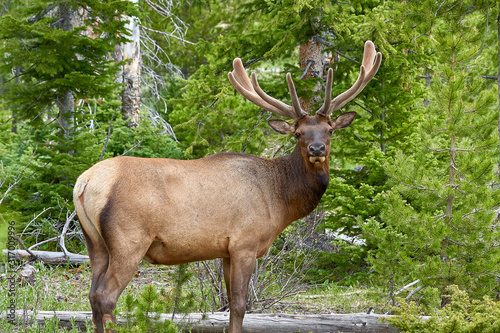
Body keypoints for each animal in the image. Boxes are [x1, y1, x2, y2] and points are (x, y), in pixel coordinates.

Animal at [72, 40, 380, 330]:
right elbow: (241, 305)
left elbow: (231, 304)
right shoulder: (245, 243)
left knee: (92, 295)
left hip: (94, 243)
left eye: (329, 130)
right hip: (129, 239)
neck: (279, 199)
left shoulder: (226, 250)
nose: (317, 149)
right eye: (298, 133)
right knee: (106, 297)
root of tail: (84, 182)